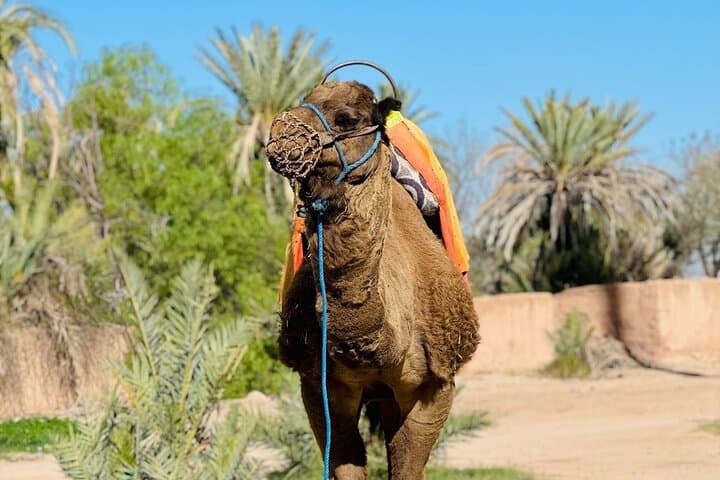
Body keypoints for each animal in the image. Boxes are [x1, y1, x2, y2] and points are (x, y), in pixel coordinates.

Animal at [266, 81, 480, 479]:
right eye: (304, 101)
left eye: (347, 119)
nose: (280, 135)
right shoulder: (318, 384)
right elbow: (345, 460)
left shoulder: (437, 385)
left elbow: (406, 462)